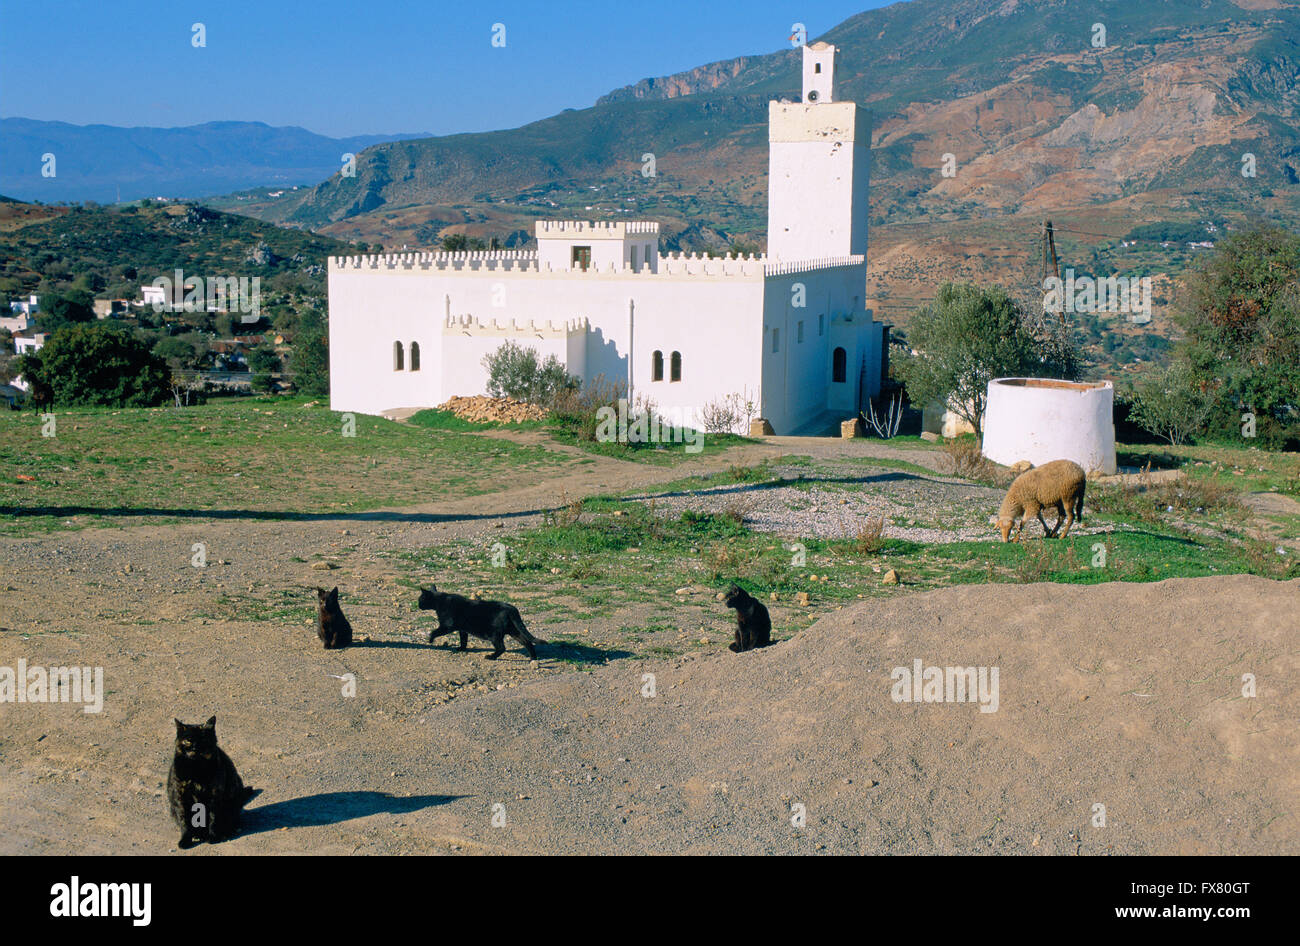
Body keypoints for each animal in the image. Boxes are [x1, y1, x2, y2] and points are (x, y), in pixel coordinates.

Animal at [165, 717, 258, 852]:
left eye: (203, 739)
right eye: (188, 740)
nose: (195, 748)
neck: (195, 769)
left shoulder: (214, 795)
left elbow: (213, 818)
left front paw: (213, 837)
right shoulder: (180, 796)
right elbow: (185, 821)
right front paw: (185, 840)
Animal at [418, 579, 546, 662]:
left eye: (420, 600)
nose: (418, 605)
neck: (439, 601)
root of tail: (511, 609)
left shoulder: (447, 625)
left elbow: (434, 631)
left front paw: (430, 640)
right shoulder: (462, 629)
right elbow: (463, 640)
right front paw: (461, 649)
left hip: (495, 635)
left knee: (502, 648)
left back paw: (491, 657)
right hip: (513, 631)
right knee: (527, 642)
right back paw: (533, 659)